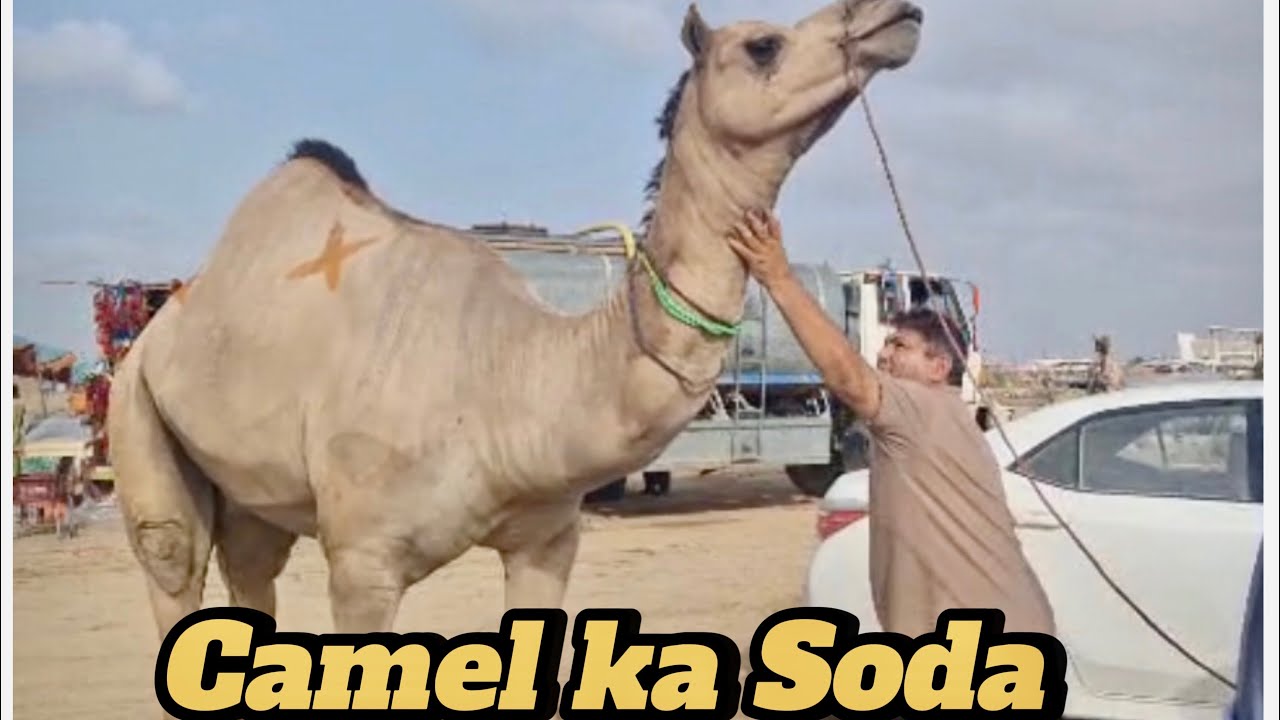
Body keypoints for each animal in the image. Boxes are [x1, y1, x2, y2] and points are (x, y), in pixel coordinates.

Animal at [108, 0, 923, 652]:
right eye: (762, 45)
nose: (895, 13)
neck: (510, 377)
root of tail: (159, 323)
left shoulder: (547, 540)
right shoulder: (363, 561)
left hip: (251, 487)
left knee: (251, 566)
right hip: (135, 404)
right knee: (172, 557)